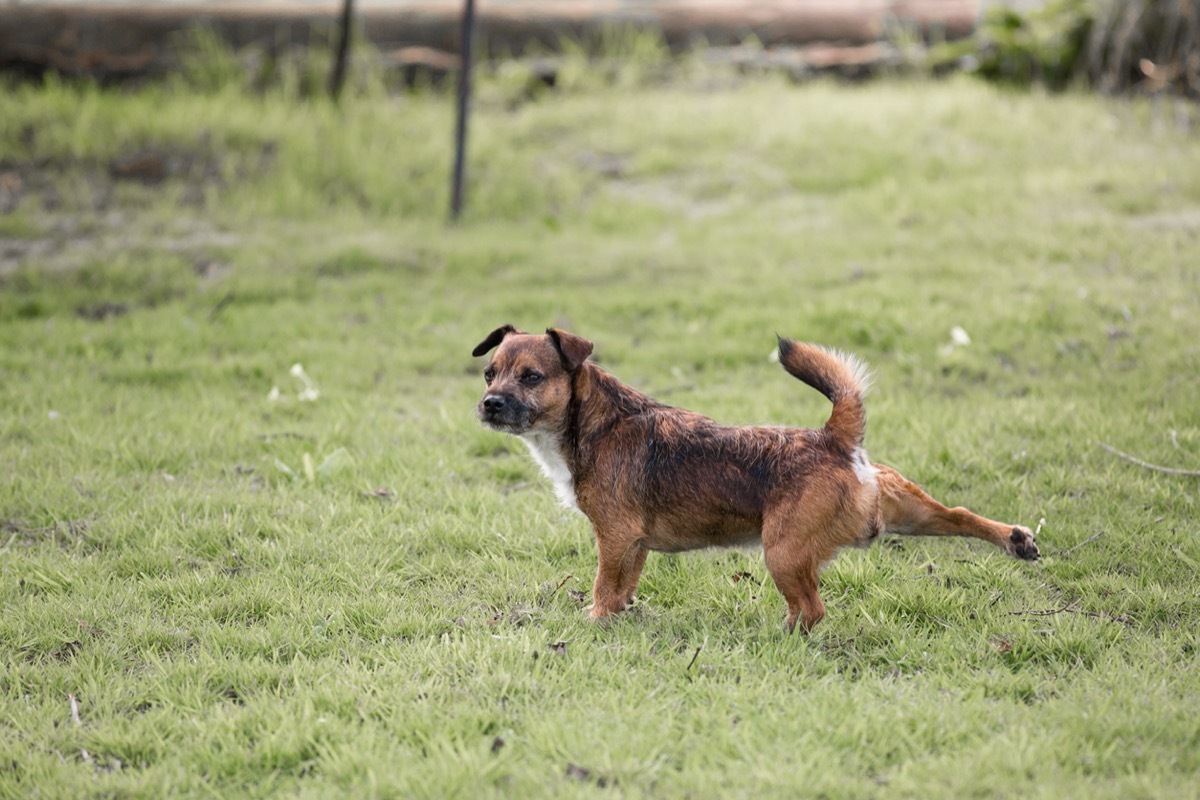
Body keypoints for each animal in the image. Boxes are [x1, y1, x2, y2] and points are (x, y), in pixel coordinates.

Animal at [472, 326, 1036, 633]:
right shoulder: (632, 545)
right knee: (959, 515)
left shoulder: (614, 537)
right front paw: (615, 619)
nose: (489, 403)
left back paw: (780, 636)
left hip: (782, 552)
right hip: (908, 511)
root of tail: (835, 439)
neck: (593, 421)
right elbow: (622, 588)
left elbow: (602, 586)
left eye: (531, 377)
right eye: (489, 373)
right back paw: (1016, 540)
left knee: (812, 609)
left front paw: (592, 625)